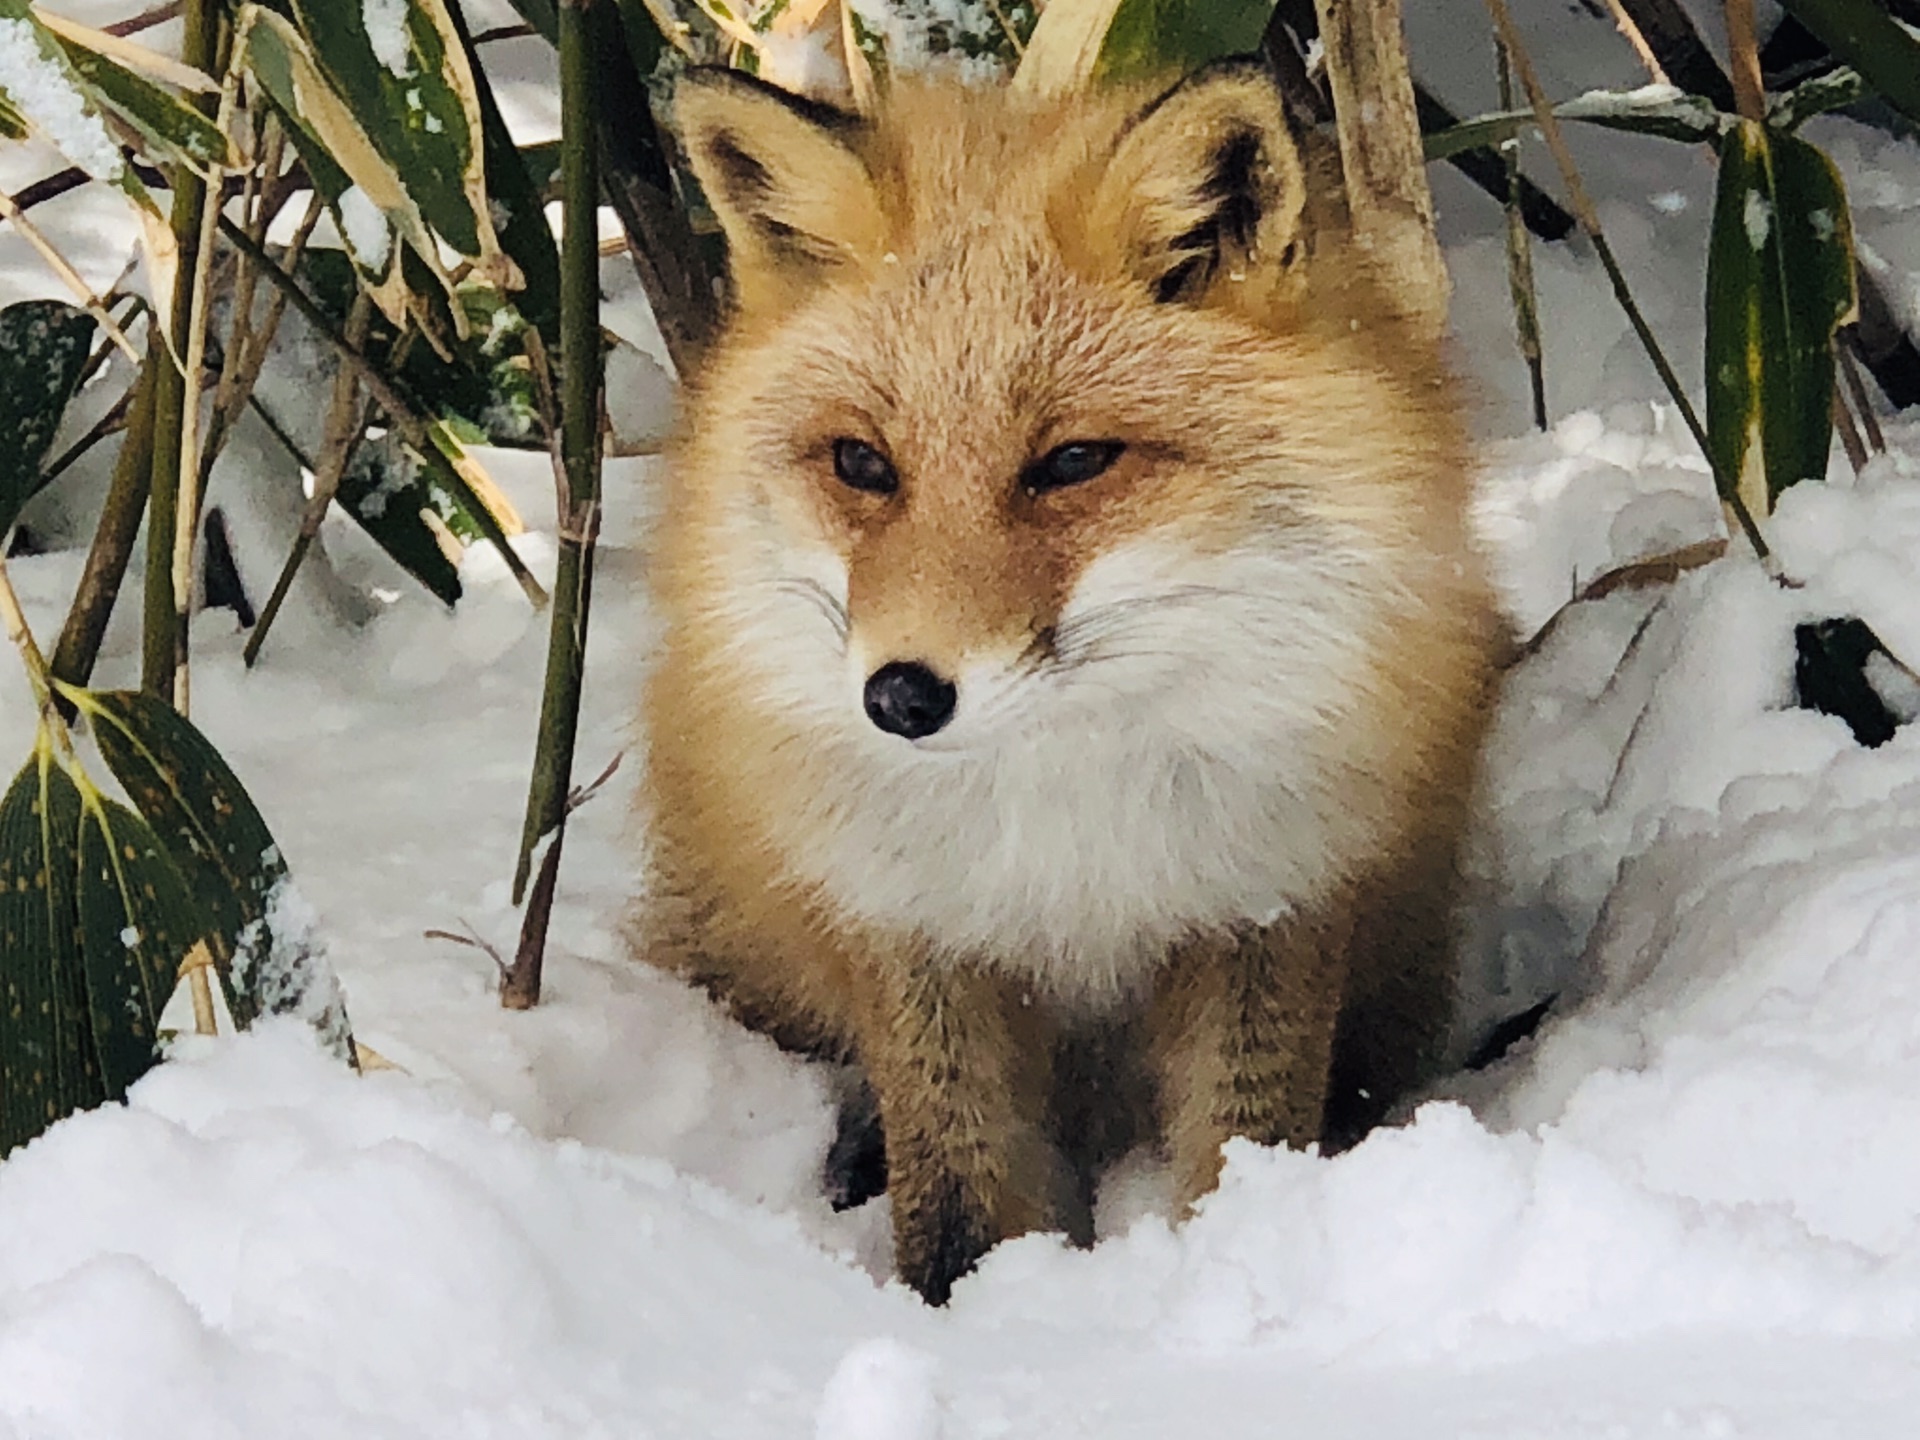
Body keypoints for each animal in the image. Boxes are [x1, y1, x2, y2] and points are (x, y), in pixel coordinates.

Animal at [633, 59, 1497, 1305]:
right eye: (862, 464)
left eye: (1073, 463)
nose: (901, 697)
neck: (1066, 826)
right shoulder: (913, 932)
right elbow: (954, 1191)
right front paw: (964, 1312)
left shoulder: (1271, 902)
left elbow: (1243, 1146)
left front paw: (1242, 1263)